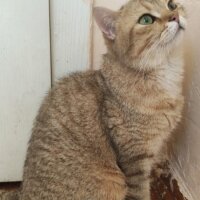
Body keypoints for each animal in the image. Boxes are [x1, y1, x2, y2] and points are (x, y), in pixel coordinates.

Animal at [0, 0, 187, 199]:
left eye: (171, 4)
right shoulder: (135, 159)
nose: (175, 16)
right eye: (146, 19)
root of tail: (22, 192)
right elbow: (141, 192)